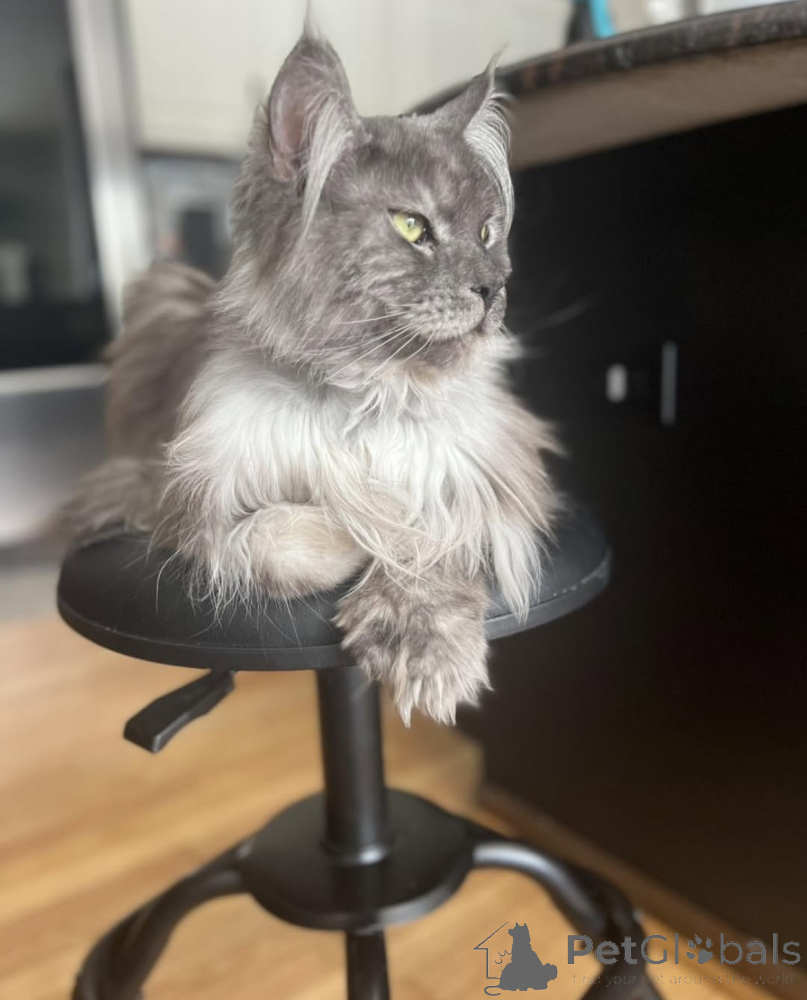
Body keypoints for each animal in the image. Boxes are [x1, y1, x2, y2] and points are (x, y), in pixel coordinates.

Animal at [64, 21, 559, 725]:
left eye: (489, 232)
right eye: (412, 225)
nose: (493, 290)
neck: (367, 393)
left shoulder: (488, 477)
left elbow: (439, 532)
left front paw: (423, 638)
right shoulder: (165, 493)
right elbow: (280, 537)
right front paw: (365, 531)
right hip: (159, 293)